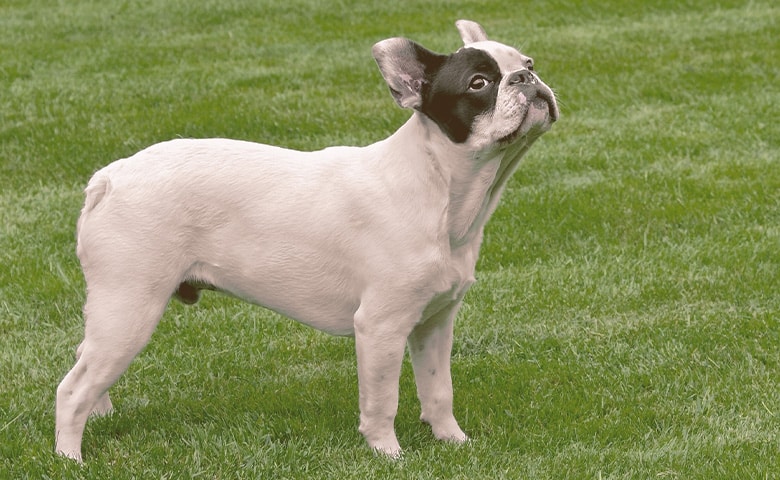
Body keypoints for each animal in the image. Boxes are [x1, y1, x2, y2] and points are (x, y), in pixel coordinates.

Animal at [54, 19, 556, 462]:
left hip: (117, 312)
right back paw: (70, 457)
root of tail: (110, 177)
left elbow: (438, 389)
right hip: (131, 307)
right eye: (478, 83)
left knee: (84, 362)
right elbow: (382, 400)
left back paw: (99, 417)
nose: (528, 78)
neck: (441, 187)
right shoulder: (380, 327)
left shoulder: (434, 323)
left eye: (528, 62)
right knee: (72, 387)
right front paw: (388, 454)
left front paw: (454, 442)